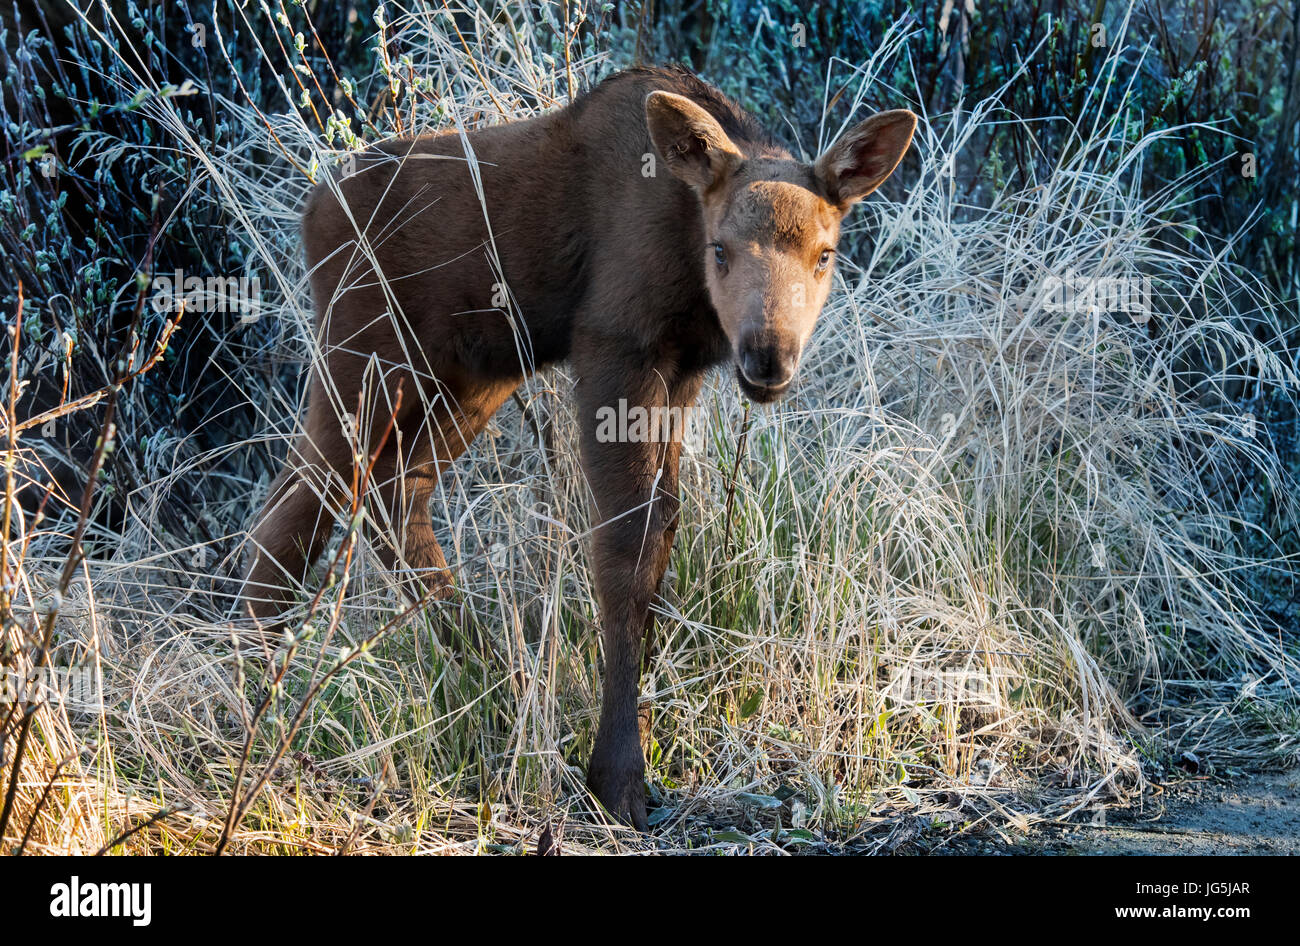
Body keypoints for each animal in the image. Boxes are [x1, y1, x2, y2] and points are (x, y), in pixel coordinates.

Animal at [244, 64, 915, 826]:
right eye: (721, 250)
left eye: (824, 254)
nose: (767, 355)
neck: (686, 252)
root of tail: (311, 208)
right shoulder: (615, 345)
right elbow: (627, 547)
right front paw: (618, 776)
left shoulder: (679, 371)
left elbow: (661, 532)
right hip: (363, 355)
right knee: (299, 502)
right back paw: (259, 700)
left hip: (467, 375)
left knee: (390, 492)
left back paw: (480, 667)